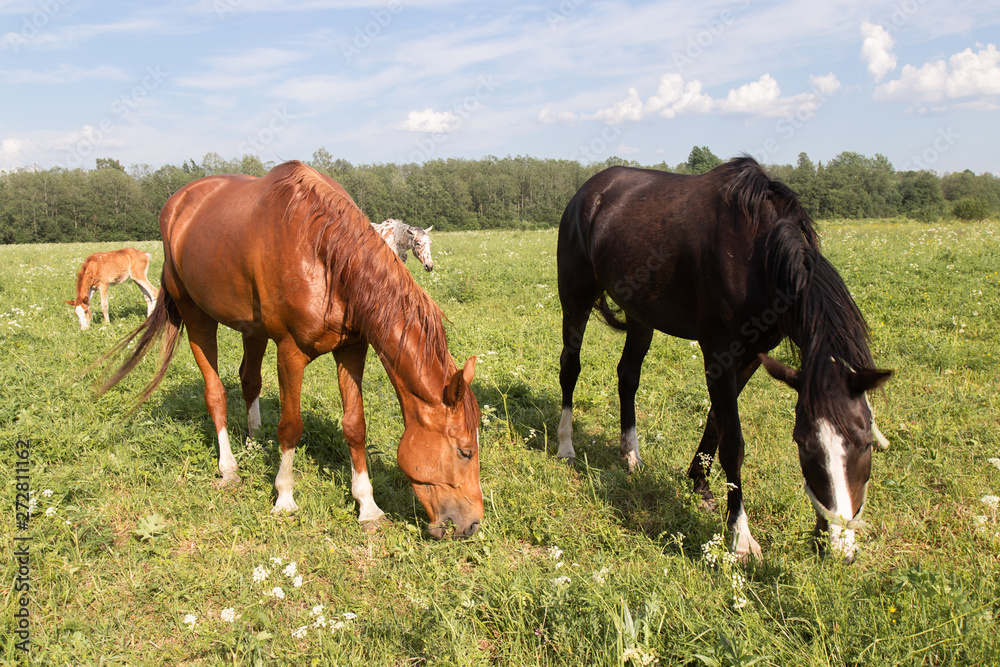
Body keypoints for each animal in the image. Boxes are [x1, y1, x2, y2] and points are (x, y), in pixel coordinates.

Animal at [99, 164, 482, 540]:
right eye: (465, 451)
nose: (472, 525)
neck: (324, 253)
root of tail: (178, 203)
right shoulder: (290, 352)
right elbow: (290, 427)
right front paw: (284, 497)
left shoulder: (352, 350)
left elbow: (355, 426)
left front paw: (368, 507)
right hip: (196, 317)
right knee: (215, 392)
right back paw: (229, 468)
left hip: (252, 329)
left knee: (249, 380)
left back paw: (254, 442)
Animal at [560, 158, 896, 564]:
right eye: (803, 444)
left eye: (865, 442)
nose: (839, 546)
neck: (757, 257)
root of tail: (588, 191)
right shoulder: (719, 352)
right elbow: (733, 441)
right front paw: (740, 535)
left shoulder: (752, 356)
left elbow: (715, 421)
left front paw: (700, 484)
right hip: (575, 301)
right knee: (570, 368)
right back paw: (565, 447)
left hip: (641, 315)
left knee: (628, 377)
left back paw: (631, 455)